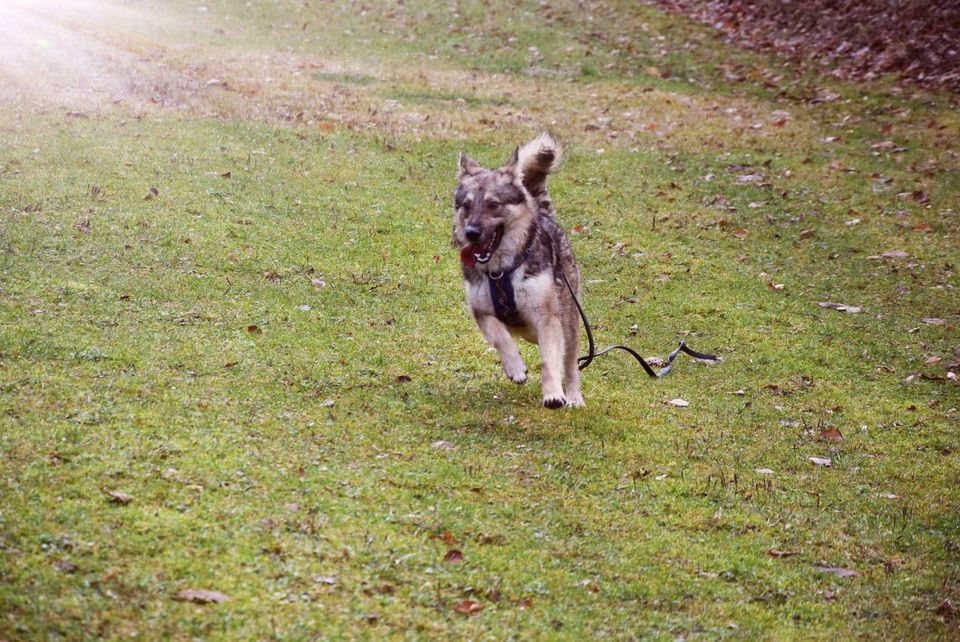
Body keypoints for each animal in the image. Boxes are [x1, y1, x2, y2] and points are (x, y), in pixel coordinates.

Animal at [452, 132, 584, 408]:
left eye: (493, 204)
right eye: (466, 205)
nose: (471, 233)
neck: (500, 272)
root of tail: (545, 215)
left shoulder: (548, 318)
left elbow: (550, 361)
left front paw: (553, 393)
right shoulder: (481, 313)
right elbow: (501, 337)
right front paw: (515, 368)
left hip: (569, 321)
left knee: (570, 364)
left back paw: (574, 396)